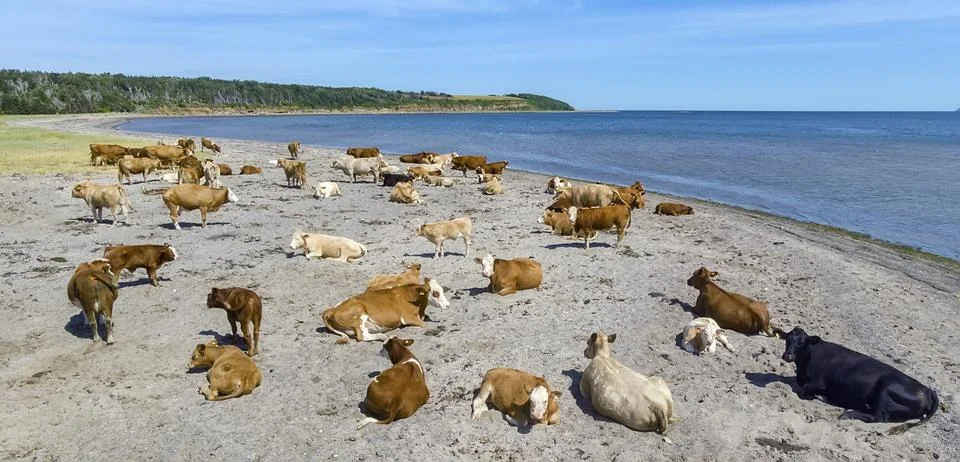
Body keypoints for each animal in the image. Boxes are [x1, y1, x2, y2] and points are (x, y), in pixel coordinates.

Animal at [321, 279, 449, 344]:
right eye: (435, 293)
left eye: (442, 290)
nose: (448, 305)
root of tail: (331, 310)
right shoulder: (407, 317)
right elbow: (425, 324)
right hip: (359, 315)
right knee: (362, 336)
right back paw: (383, 336)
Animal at [779, 327, 942, 434]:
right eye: (787, 340)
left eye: (801, 343)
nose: (788, 356)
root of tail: (927, 389)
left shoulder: (818, 382)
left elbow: (803, 390)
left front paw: (819, 396)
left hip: (886, 390)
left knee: (879, 416)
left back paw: (848, 413)